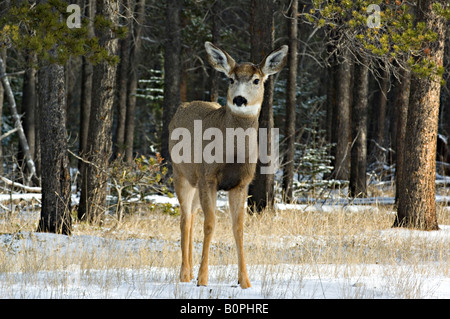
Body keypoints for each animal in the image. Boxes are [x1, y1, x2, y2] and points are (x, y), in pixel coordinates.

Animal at [169, 41, 288, 288]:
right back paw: (185, 274)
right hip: (181, 174)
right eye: (231, 79)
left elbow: (238, 227)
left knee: (192, 216)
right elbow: (210, 224)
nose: (240, 99)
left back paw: (190, 270)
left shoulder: (241, 183)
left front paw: (245, 280)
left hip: (195, 181)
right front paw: (203, 279)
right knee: (184, 219)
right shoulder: (209, 176)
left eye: (256, 80)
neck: (232, 153)